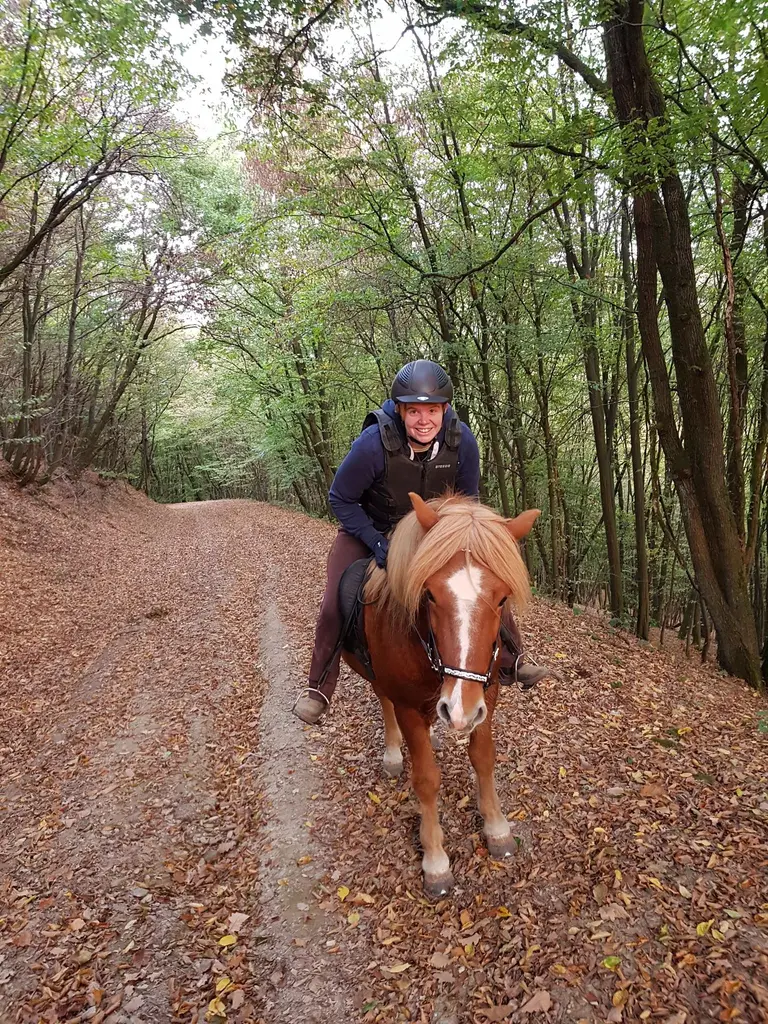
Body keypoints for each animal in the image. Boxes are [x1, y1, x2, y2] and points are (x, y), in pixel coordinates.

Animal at [342, 491, 539, 896]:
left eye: (502, 599)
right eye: (429, 594)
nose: (459, 710)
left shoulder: (486, 695)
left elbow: (483, 758)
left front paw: (496, 828)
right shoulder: (407, 704)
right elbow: (426, 779)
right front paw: (435, 860)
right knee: (382, 700)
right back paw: (393, 753)